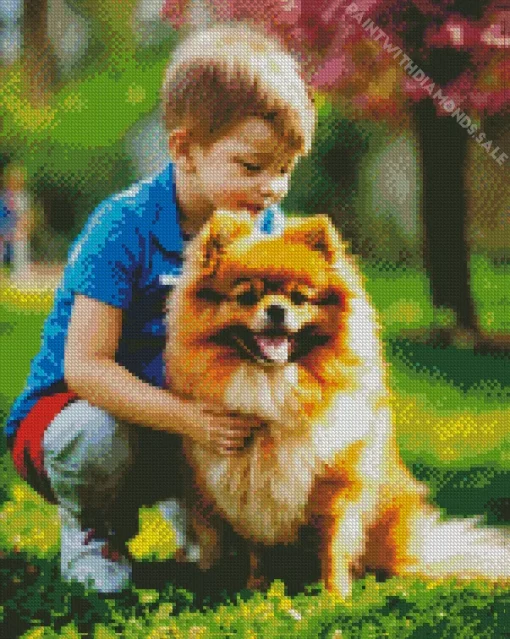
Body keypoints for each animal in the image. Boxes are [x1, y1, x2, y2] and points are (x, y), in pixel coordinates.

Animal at [164, 212, 510, 596]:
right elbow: (258, 546)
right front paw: (257, 590)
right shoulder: (246, 491)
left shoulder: (334, 485)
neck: (274, 388)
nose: (276, 309)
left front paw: (334, 595)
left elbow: (331, 544)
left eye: (299, 298)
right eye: (247, 296)